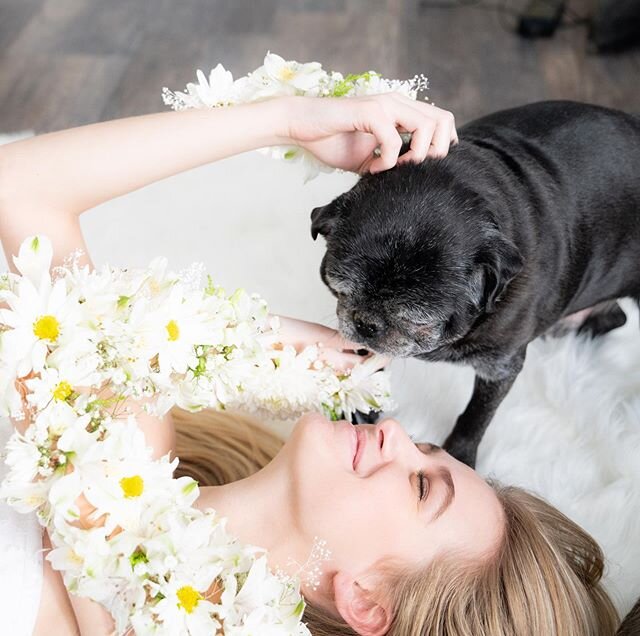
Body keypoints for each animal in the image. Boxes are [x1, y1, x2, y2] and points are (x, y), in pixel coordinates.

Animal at [310, 100, 640, 468]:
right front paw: (362, 413)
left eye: (418, 318)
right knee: (616, 318)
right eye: (340, 288)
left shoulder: (500, 367)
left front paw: (458, 456)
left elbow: (476, 416)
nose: (366, 323)